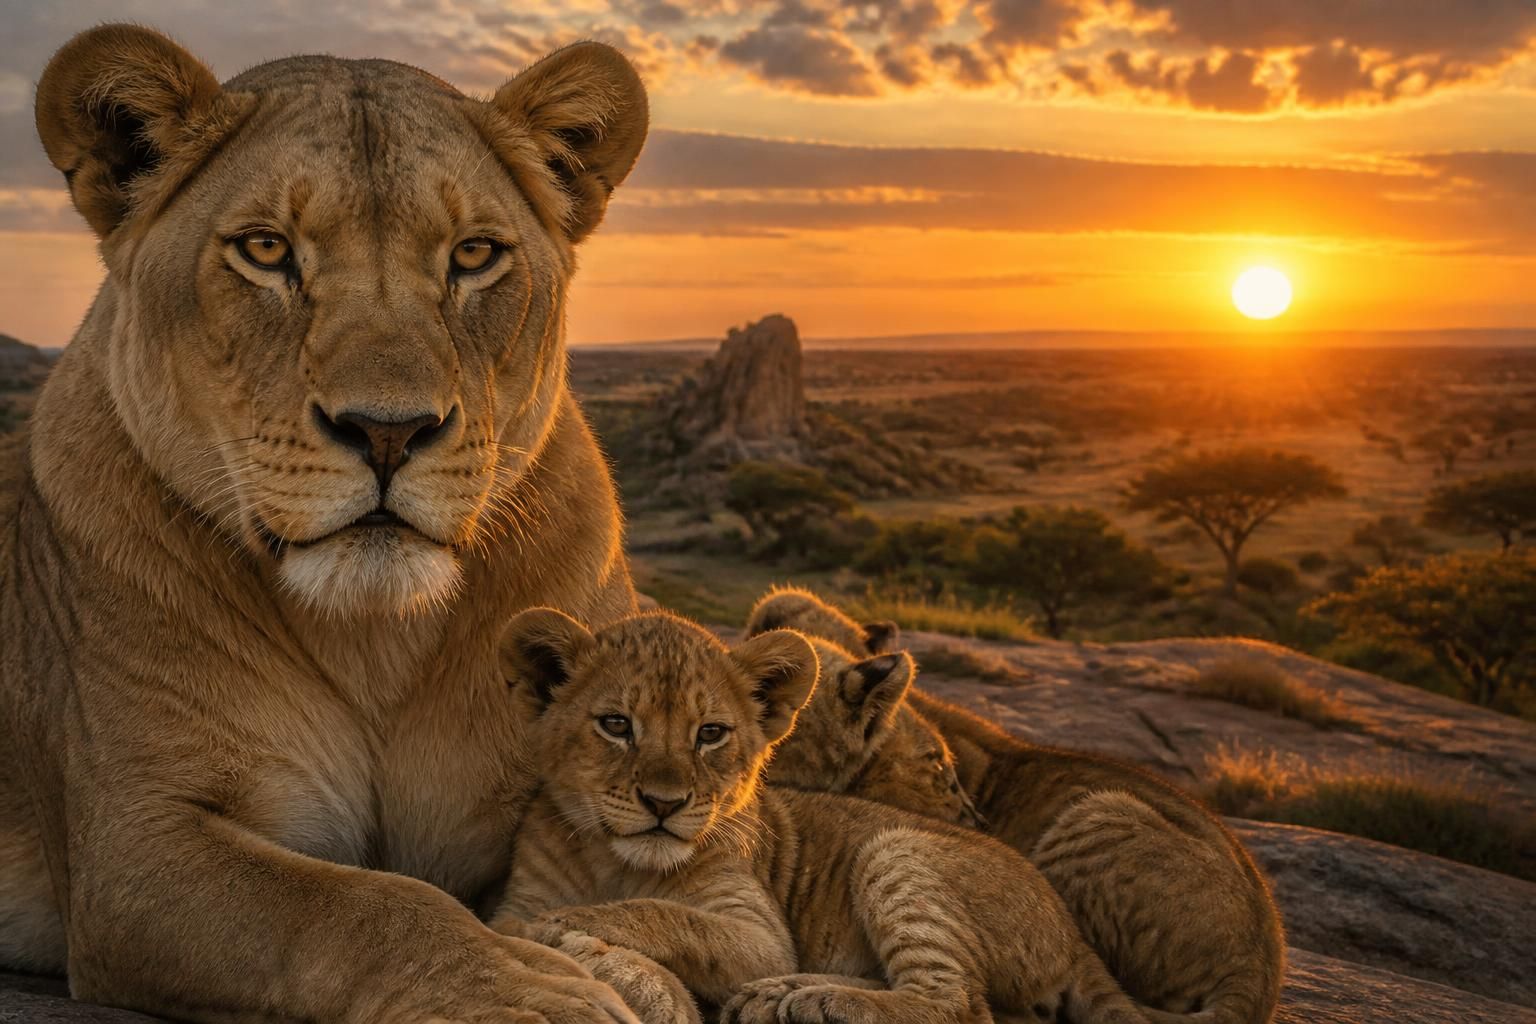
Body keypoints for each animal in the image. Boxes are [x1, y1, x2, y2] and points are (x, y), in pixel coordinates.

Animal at [1, 24, 655, 1023]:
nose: (388, 430)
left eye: (474, 255)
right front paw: (528, 991)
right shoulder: (133, 845)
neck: (377, 639)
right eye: (267, 249)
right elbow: (357, 905)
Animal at [491, 609, 1146, 1024]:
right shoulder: (518, 894)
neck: (617, 861)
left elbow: (663, 914)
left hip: (896, 850)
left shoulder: (759, 933)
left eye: (711, 734)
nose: (665, 804)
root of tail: (1073, 933)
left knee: (959, 1002)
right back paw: (783, 995)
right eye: (616, 725)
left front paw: (564, 924)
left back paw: (813, 1000)